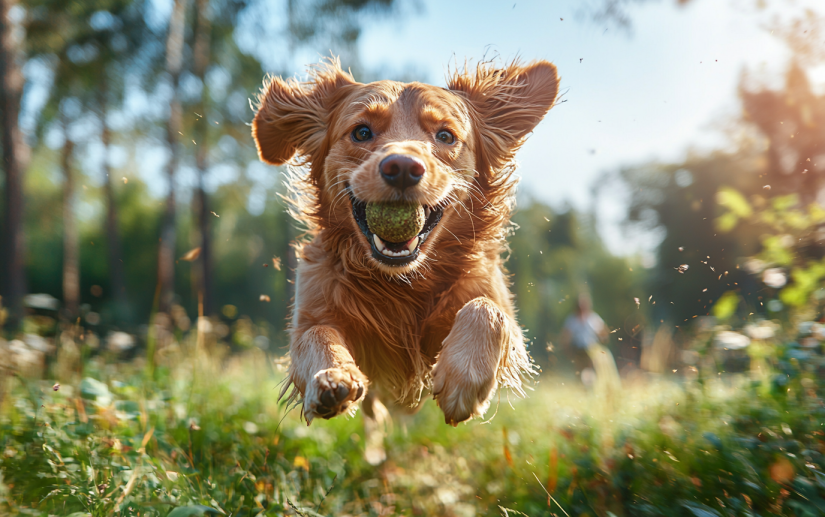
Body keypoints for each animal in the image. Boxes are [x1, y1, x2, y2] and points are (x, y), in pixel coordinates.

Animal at [251, 56, 560, 430]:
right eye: (362, 132)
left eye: (445, 136)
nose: (401, 167)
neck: (403, 286)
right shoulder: (310, 312)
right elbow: (316, 334)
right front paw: (332, 376)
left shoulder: (501, 312)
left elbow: (488, 310)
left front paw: (463, 380)